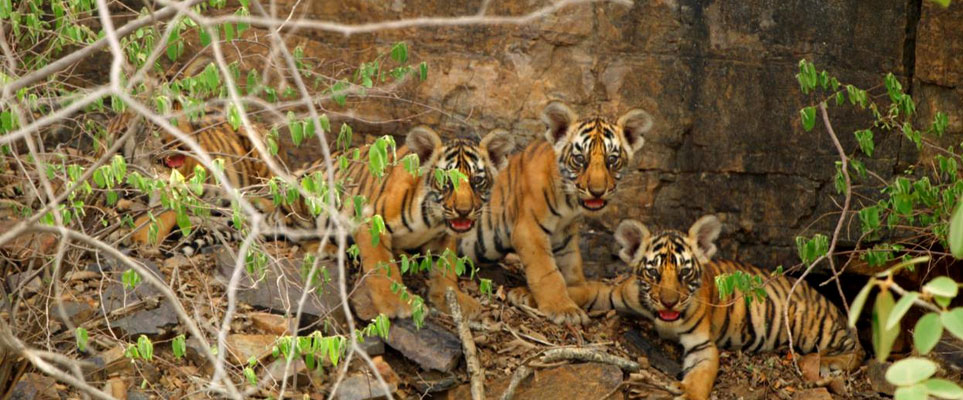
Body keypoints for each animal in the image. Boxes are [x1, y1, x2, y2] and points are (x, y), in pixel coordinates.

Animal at [457, 101, 652, 325]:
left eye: (612, 160)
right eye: (579, 159)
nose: (597, 191)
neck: (569, 204)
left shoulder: (564, 238)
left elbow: (573, 274)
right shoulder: (529, 230)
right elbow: (547, 273)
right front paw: (563, 309)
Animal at [573, 215, 863, 400]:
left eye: (684, 273)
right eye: (654, 273)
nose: (669, 302)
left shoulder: (702, 345)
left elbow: (698, 378)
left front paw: (688, 394)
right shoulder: (618, 294)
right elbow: (590, 289)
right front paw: (566, 304)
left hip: (808, 325)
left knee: (858, 351)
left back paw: (829, 363)